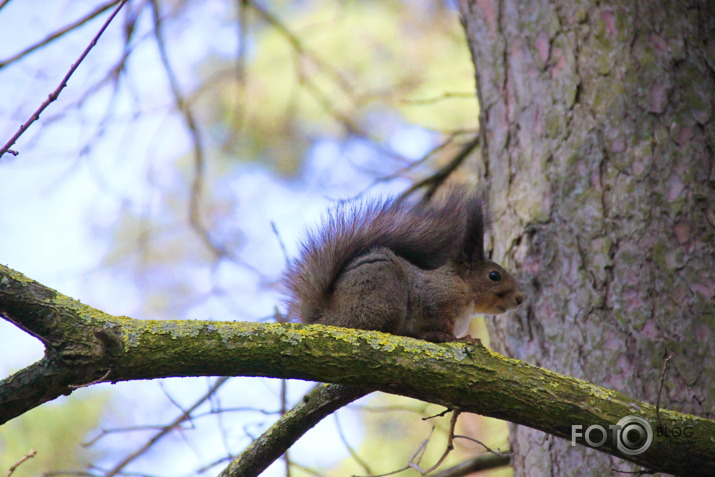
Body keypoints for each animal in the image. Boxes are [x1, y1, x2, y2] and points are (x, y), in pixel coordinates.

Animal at [286, 188, 524, 340]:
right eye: (494, 275)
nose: (520, 299)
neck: (461, 286)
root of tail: (326, 317)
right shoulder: (434, 300)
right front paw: (455, 338)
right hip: (382, 299)